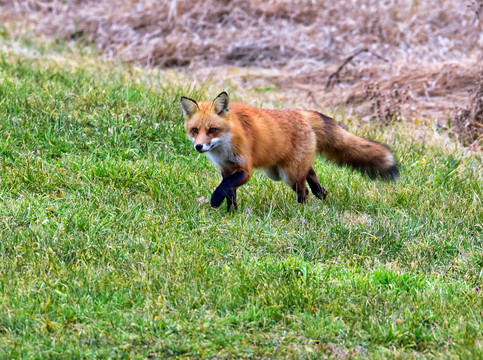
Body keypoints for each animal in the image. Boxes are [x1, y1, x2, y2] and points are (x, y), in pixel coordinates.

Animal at [180, 92, 398, 211]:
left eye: (212, 130)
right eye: (195, 130)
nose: (199, 147)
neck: (223, 148)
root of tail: (301, 112)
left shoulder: (244, 169)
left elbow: (224, 187)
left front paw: (215, 200)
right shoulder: (226, 169)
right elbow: (229, 191)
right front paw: (231, 213)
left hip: (288, 175)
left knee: (304, 190)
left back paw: (302, 210)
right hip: (279, 171)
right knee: (310, 173)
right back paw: (322, 194)